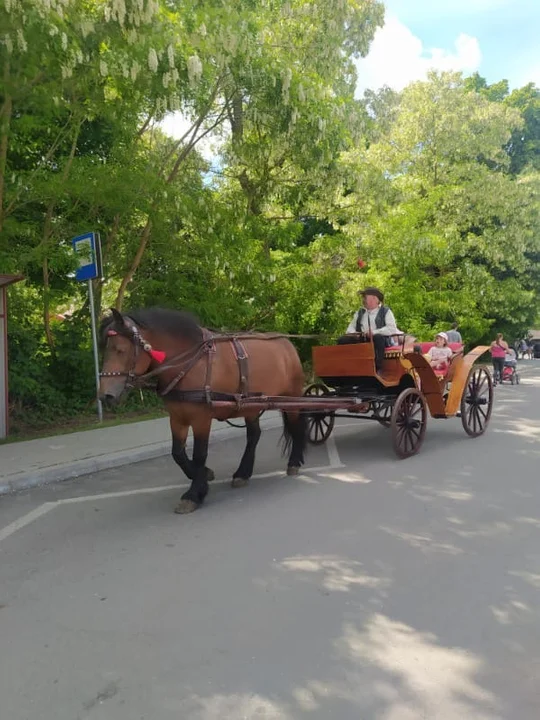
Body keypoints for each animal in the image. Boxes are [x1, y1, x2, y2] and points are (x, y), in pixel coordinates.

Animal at [98, 306, 308, 516]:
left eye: (120, 349)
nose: (105, 396)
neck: (190, 363)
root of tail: (286, 342)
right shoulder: (177, 418)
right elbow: (178, 453)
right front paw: (203, 476)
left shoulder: (201, 418)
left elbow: (199, 454)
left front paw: (193, 494)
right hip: (251, 405)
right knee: (254, 435)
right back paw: (243, 473)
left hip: (292, 397)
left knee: (296, 428)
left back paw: (293, 462)